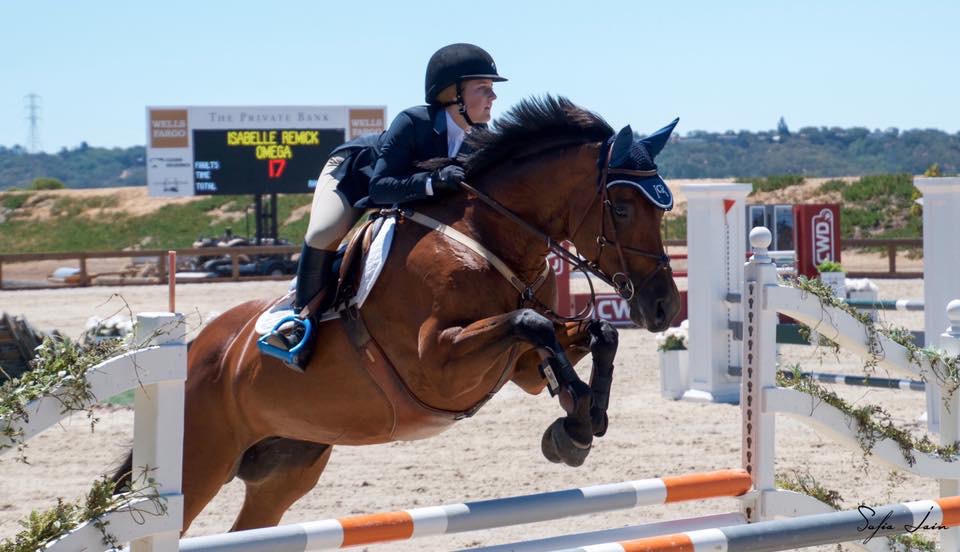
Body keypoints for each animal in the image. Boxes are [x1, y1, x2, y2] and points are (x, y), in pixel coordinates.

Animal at [118, 96, 682, 533]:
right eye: (623, 208)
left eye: (662, 209)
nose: (664, 308)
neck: (487, 236)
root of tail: (198, 348)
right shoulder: (436, 362)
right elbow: (531, 323)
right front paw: (577, 416)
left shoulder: (517, 366)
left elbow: (597, 332)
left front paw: (583, 421)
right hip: (199, 463)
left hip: (287, 465)